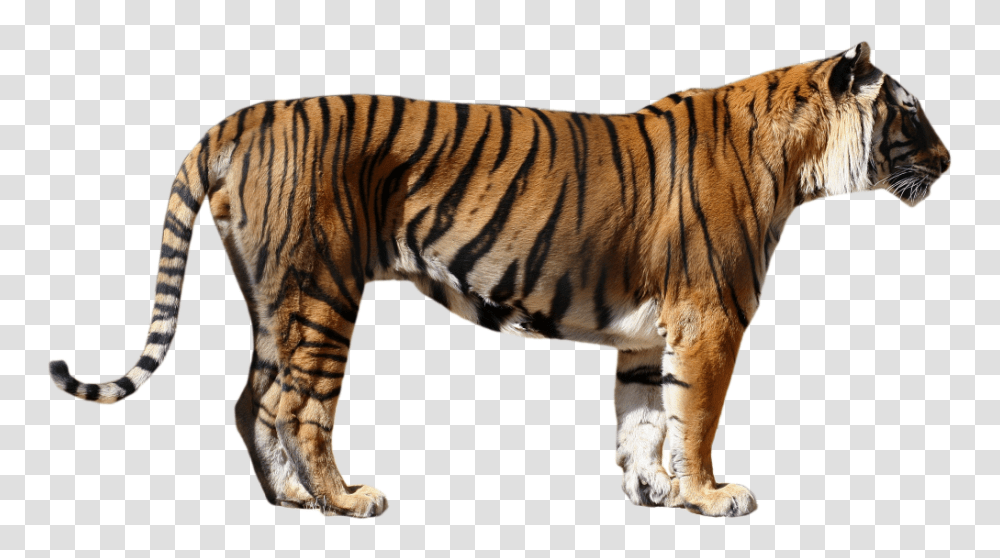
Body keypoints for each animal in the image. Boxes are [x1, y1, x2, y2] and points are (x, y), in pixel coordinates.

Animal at [49, 42, 950, 518]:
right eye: (909, 112)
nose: (948, 159)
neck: (800, 162)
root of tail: (240, 118)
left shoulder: (647, 332)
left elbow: (643, 418)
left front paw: (651, 490)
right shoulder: (710, 320)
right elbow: (694, 419)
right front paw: (710, 495)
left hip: (278, 299)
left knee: (251, 400)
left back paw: (292, 502)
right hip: (322, 293)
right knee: (296, 407)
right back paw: (346, 501)